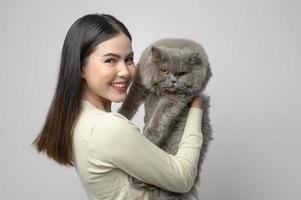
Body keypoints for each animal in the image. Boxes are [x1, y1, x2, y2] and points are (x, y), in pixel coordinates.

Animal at [117, 38, 211, 200]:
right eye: (164, 70)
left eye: (182, 73)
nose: (173, 81)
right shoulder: (139, 84)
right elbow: (129, 102)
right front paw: (121, 114)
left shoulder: (175, 98)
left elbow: (159, 118)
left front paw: (148, 137)